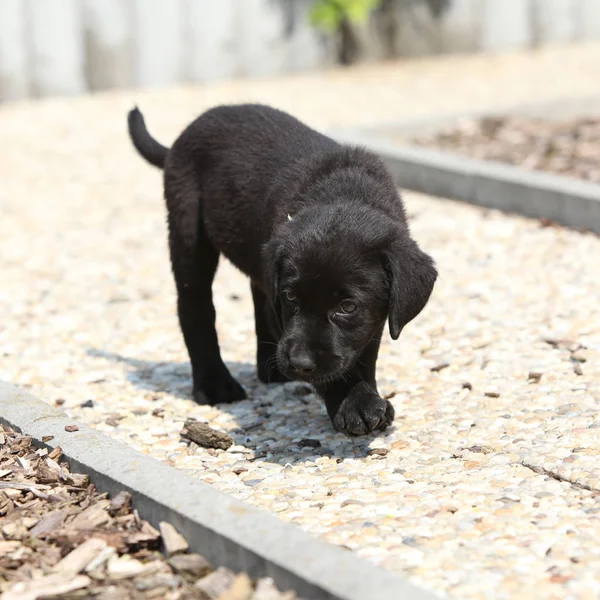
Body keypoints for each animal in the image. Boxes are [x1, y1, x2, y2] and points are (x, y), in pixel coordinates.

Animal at [127, 104, 436, 436]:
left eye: (348, 306)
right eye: (290, 297)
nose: (298, 363)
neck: (345, 191)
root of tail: (180, 141)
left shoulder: (374, 319)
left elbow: (364, 352)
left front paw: (365, 394)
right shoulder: (281, 306)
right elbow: (334, 371)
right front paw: (356, 404)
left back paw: (269, 370)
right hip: (188, 230)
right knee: (196, 306)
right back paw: (215, 384)